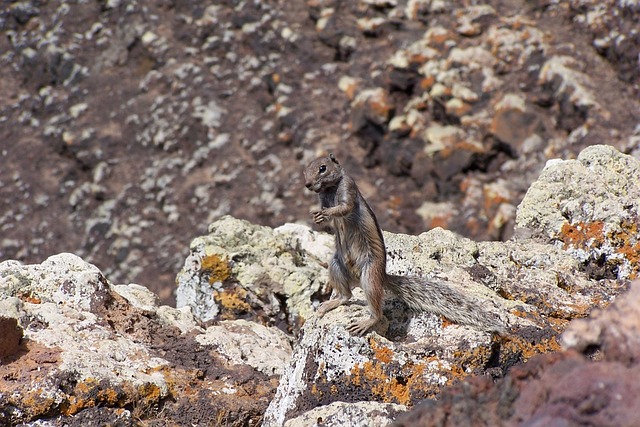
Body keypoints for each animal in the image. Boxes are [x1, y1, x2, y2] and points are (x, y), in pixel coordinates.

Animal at [304, 155, 504, 338]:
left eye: (322, 168)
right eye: (306, 169)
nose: (307, 184)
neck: (330, 189)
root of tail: (382, 276)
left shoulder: (348, 188)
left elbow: (344, 207)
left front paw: (325, 212)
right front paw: (319, 216)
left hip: (369, 275)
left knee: (376, 309)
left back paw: (366, 322)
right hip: (336, 265)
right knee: (346, 296)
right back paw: (330, 304)